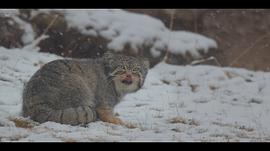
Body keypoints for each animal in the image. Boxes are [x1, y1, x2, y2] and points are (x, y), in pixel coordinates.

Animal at [22, 52, 150, 127]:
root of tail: (38, 106)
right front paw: (119, 121)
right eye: (122, 68)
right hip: (79, 85)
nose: (129, 75)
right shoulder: (103, 101)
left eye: (135, 70)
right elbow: (107, 115)